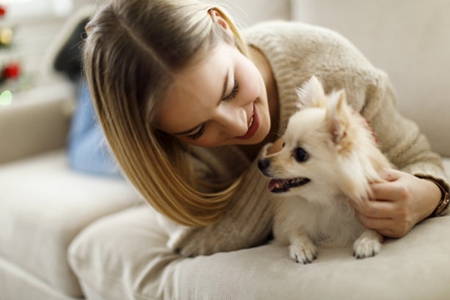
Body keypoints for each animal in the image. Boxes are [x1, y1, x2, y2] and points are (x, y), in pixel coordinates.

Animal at [258, 76, 392, 264]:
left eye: (300, 154)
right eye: (283, 144)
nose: (261, 162)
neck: (326, 201)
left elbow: (375, 228)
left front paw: (366, 242)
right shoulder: (284, 226)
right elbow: (295, 229)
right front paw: (302, 247)